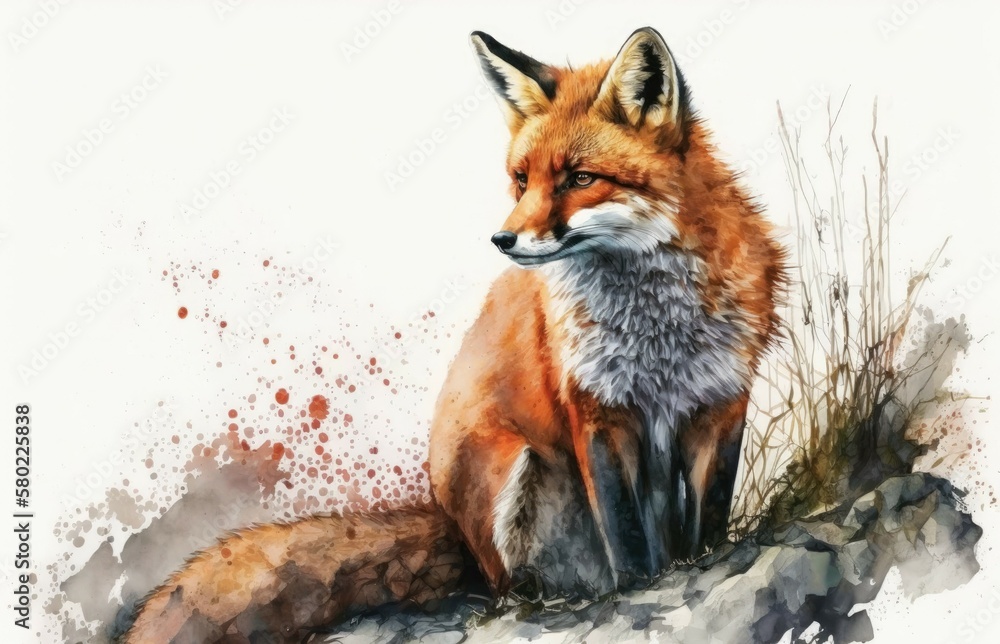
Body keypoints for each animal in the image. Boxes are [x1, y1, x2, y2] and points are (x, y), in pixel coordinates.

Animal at [124, 27, 784, 643]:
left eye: (579, 178)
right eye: (521, 180)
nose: (503, 240)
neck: (655, 332)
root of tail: (449, 522)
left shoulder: (720, 403)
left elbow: (707, 520)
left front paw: (696, 565)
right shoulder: (596, 412)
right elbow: (627, 541)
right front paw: (641, 591)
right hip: (511, 470)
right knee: (507, 589)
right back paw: (549, 597)